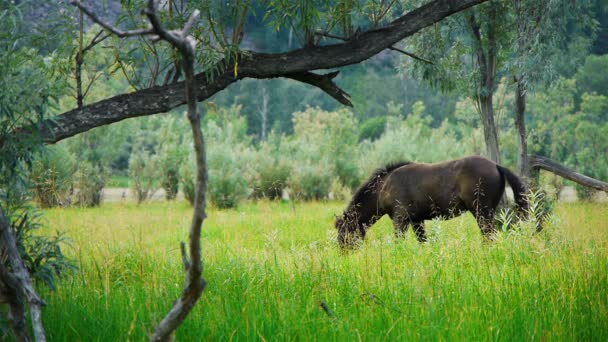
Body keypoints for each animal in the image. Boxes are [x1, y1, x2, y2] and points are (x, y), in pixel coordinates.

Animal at [334, 156, 528, 247]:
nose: (343, 252)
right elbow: (423, 242)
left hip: (482, 212)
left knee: (489, 235)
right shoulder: (416, 221)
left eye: (344, 231)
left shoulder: (400, 219)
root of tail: (496, 165)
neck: (384, 186)